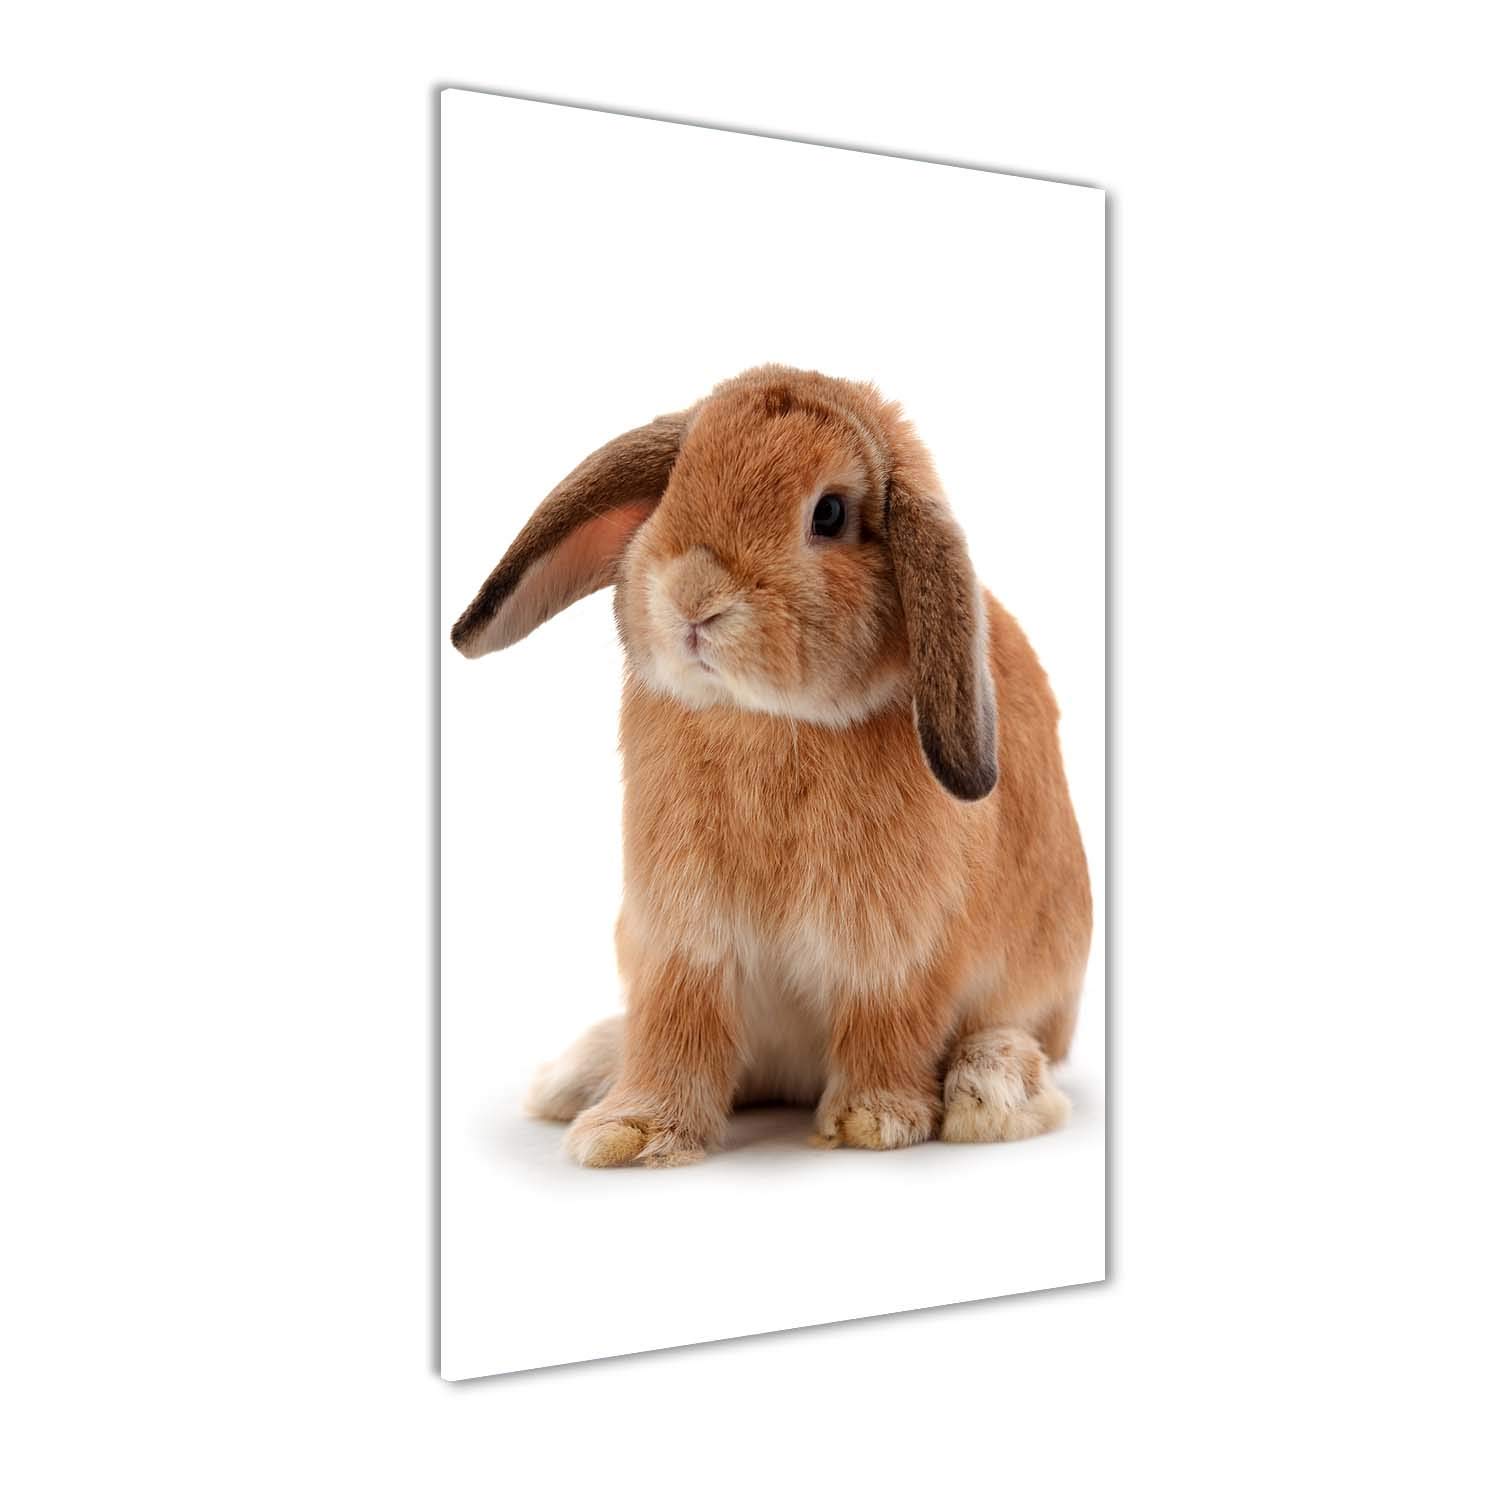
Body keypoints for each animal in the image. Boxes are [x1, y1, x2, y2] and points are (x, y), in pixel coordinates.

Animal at [451, 365, 1092, 1167]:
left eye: (830, 514)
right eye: (675, 485)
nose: (694, 596)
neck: (765, 718)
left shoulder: (896, 948)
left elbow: (887, 1023)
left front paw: (873, 1121)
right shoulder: (683, 938)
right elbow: (675, 1030)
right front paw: (628, 1131)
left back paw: (992, 1088)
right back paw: (577, 1075)